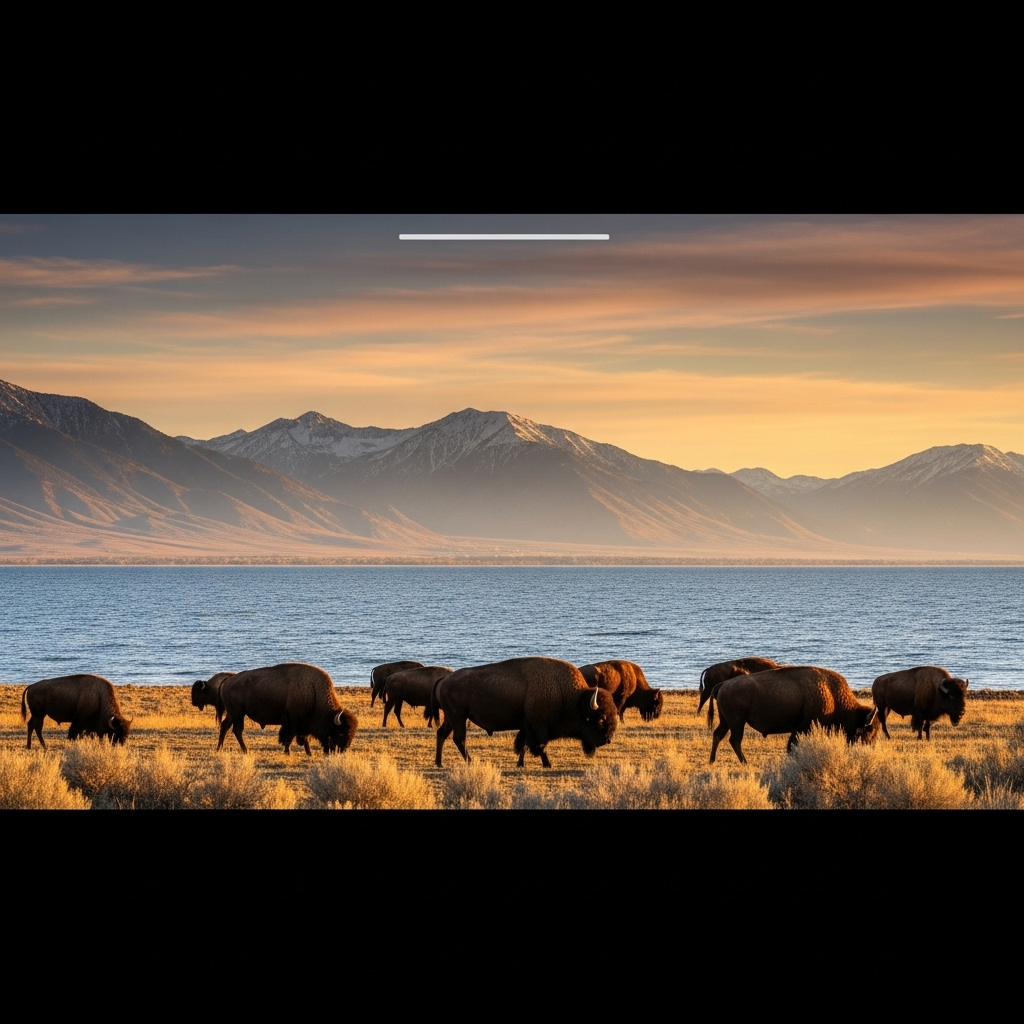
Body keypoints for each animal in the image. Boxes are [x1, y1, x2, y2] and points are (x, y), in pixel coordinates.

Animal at [217, 663, 358, 756]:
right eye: (340, 732)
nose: (343, 749)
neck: (314, 692)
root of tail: (228, 679)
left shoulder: (302, 725)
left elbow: (302, 738)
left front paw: (309, 753)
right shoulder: (293, 723)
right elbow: (288, 737)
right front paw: (287, 752)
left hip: (233, 714)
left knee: (225, 726)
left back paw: (220, 748)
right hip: (237, 713)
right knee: (237, 730)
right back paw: (245, 750)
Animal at [429, 656, 617, 768]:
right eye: (600, 719)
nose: (607, 740)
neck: (573, 698)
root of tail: (444, 679)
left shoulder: (527, 727)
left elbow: (524, 746)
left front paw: (521, 763)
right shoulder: (538, 728)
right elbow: (538, 746)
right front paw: (547, 764)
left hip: (451, 718)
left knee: (442, 734)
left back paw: (439, 763)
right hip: (458, 717)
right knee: (459, 739)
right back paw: (470, 761)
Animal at [709, 665, 880, 764]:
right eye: (868, 731)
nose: (870, 749)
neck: (831, 694)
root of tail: (723, 684)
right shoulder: (802, 728)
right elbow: (792, 745)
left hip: (726, 721)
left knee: (718, 735)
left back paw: (712, 761)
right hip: (737, 722)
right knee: (734, 740)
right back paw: (744, 762)